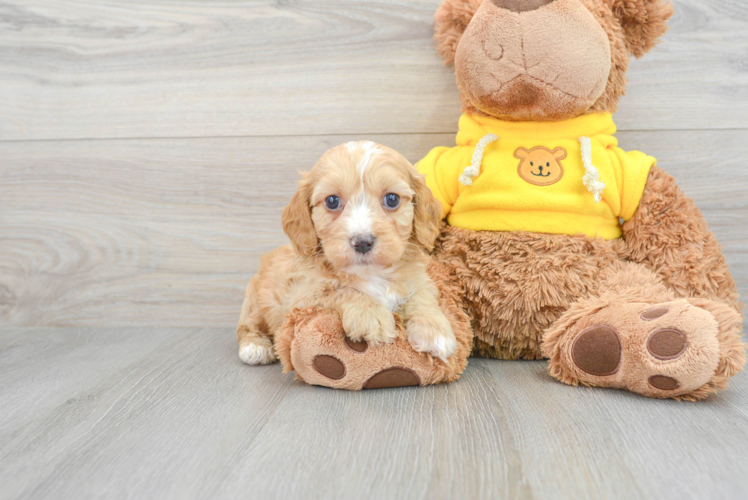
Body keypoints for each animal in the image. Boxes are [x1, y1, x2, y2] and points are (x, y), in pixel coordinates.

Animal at [237, 141, 458, 364]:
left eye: (392, 199)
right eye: (332, 201)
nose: (362, 242)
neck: (371, 274)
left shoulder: (419, 279)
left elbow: (421, 295)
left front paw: (435, 331)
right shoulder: (302, 299)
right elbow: (340, 290)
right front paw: (372, 316)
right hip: (254, 301)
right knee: (248, 325)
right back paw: (255, 346)